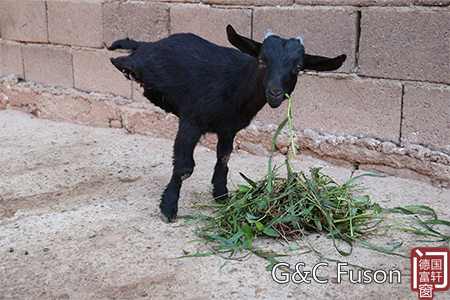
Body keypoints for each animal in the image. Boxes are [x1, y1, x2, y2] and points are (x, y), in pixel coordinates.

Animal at [107, 26, 346, 223]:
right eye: (261, 61)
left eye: (298, 67)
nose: (275, 93)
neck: (235, 84)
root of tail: (155, 42)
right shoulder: (191, 121)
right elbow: (184, 168)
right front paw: (168, 208)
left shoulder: (228, 129)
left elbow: (223, 158)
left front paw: (221, 195)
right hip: (146, 61)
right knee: (128, 59)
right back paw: (121, 64)